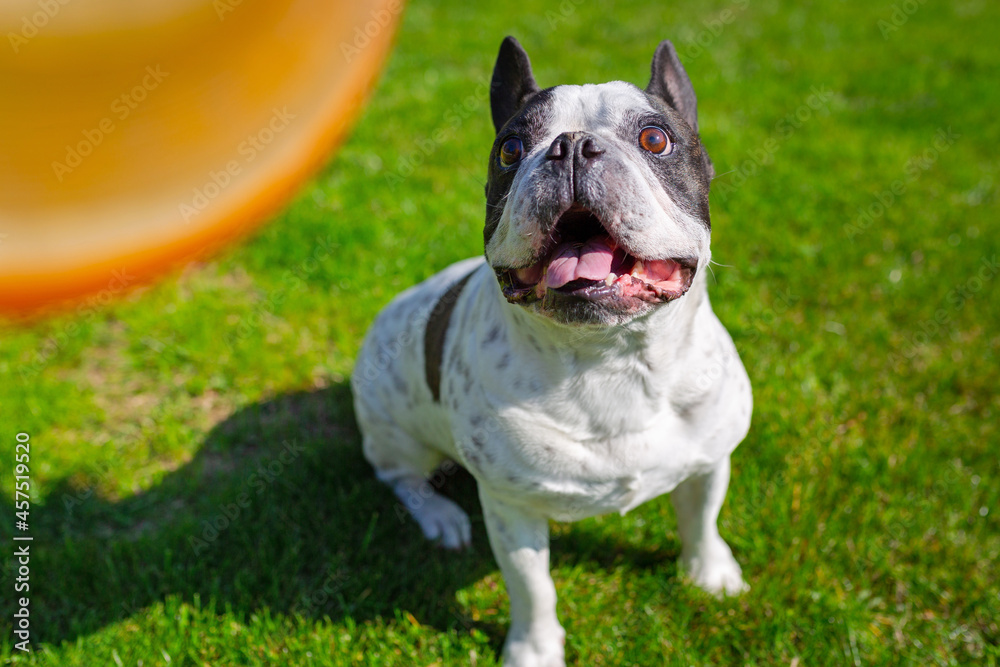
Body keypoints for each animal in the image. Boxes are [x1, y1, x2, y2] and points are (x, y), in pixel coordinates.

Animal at [352, 37, 752, 667]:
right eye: (510, 149)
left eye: (655, 139)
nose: (571, 146)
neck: (611, 356)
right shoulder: (510, 507)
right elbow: (531, 585)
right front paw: (533, 650)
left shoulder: (710, 461)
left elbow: (702, 520)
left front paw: (710, 573)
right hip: (396, 433)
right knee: (403, 479)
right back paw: (441, 516)